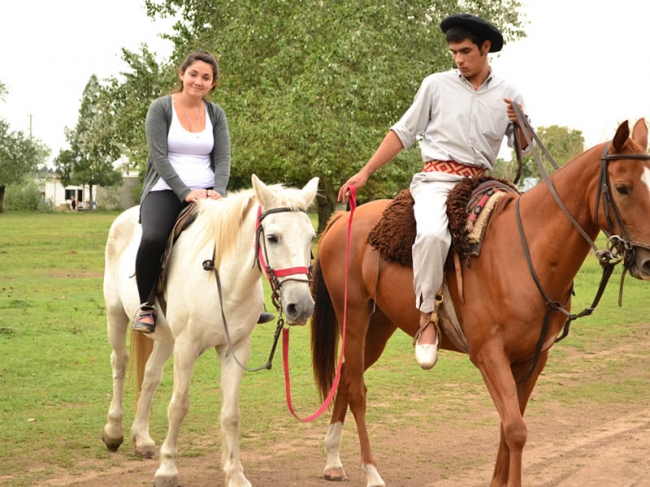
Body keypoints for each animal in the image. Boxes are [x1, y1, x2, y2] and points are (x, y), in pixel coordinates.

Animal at [100, 175, 318, 487]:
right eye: (273, 237)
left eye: (311, 237)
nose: (301, 307)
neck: (224, 281)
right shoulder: (187, 347)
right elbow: (179, 405)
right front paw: (167, 470)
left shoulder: (235, 349)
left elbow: (231, 414)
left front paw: (235, 473)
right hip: (116, 315)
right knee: (120, 362)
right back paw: (113, 432)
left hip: (166, 338)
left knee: (151, 376)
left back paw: (141, 439)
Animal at [308, 119, 648, 487]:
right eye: (622, 187)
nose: (647, 261)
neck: (525, 251)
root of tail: (342, 221)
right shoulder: (489, 354)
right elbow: (516, 430)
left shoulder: (533, 358)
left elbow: (509, 425)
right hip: (354, 316)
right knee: (357, 389)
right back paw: (371, 472)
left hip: (380, 325)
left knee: (346, 375)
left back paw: (332, 460)